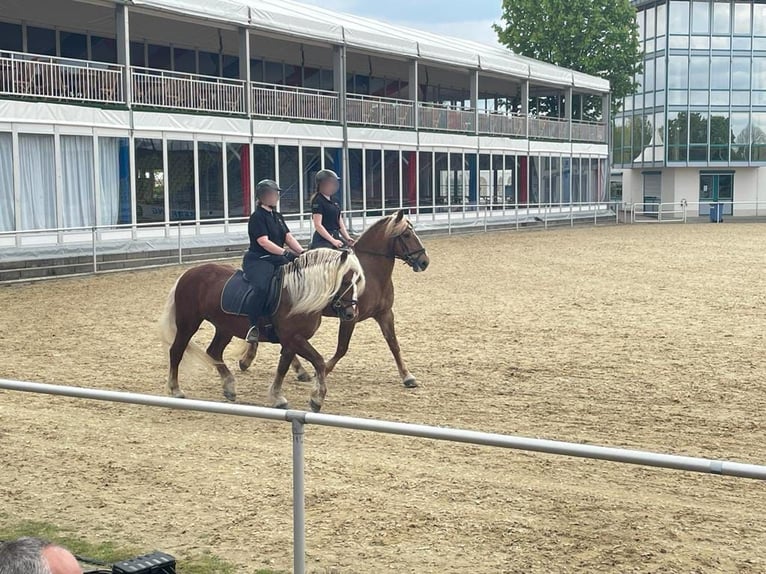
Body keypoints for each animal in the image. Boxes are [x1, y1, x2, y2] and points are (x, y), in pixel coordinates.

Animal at [159, 250, 366, 412]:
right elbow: (319, 362)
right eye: (345, 281)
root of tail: (188, 273)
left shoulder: (290, 342)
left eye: (357, 281)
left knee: (214, 351)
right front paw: (317, 399)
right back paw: (176, 389)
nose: (351, 313)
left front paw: (277, 398)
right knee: (176, 351)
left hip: (224, 327)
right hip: (188, 323)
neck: (299, 295)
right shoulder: (294, 338)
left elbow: (283, 367)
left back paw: (229, 387)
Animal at [240, 213, 432, 392]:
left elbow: (393, 344)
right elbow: (342, 348)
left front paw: (407, 376)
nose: (424, 261)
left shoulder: (384, 313)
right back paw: (250, 358)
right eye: (407, 234)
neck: (371, 274)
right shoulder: (350, 317)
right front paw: (323, 371)